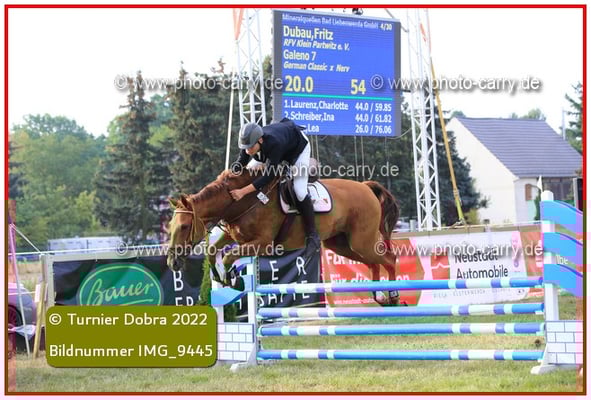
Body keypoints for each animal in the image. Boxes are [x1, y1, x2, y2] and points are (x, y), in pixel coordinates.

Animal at [166, 166, 401, 305]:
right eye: (170, 226)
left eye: (184, 226)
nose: (172, 262)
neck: (241, 201)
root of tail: (365, 187)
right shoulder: (237, 237)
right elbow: (213, 250)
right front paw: (218, 276)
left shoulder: (262, 243)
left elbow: (228, 256)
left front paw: (232, 279)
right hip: (342, 244)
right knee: (373, 263)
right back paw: (379, 296)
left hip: (362, 241)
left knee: (389, 259)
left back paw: (393, 296)